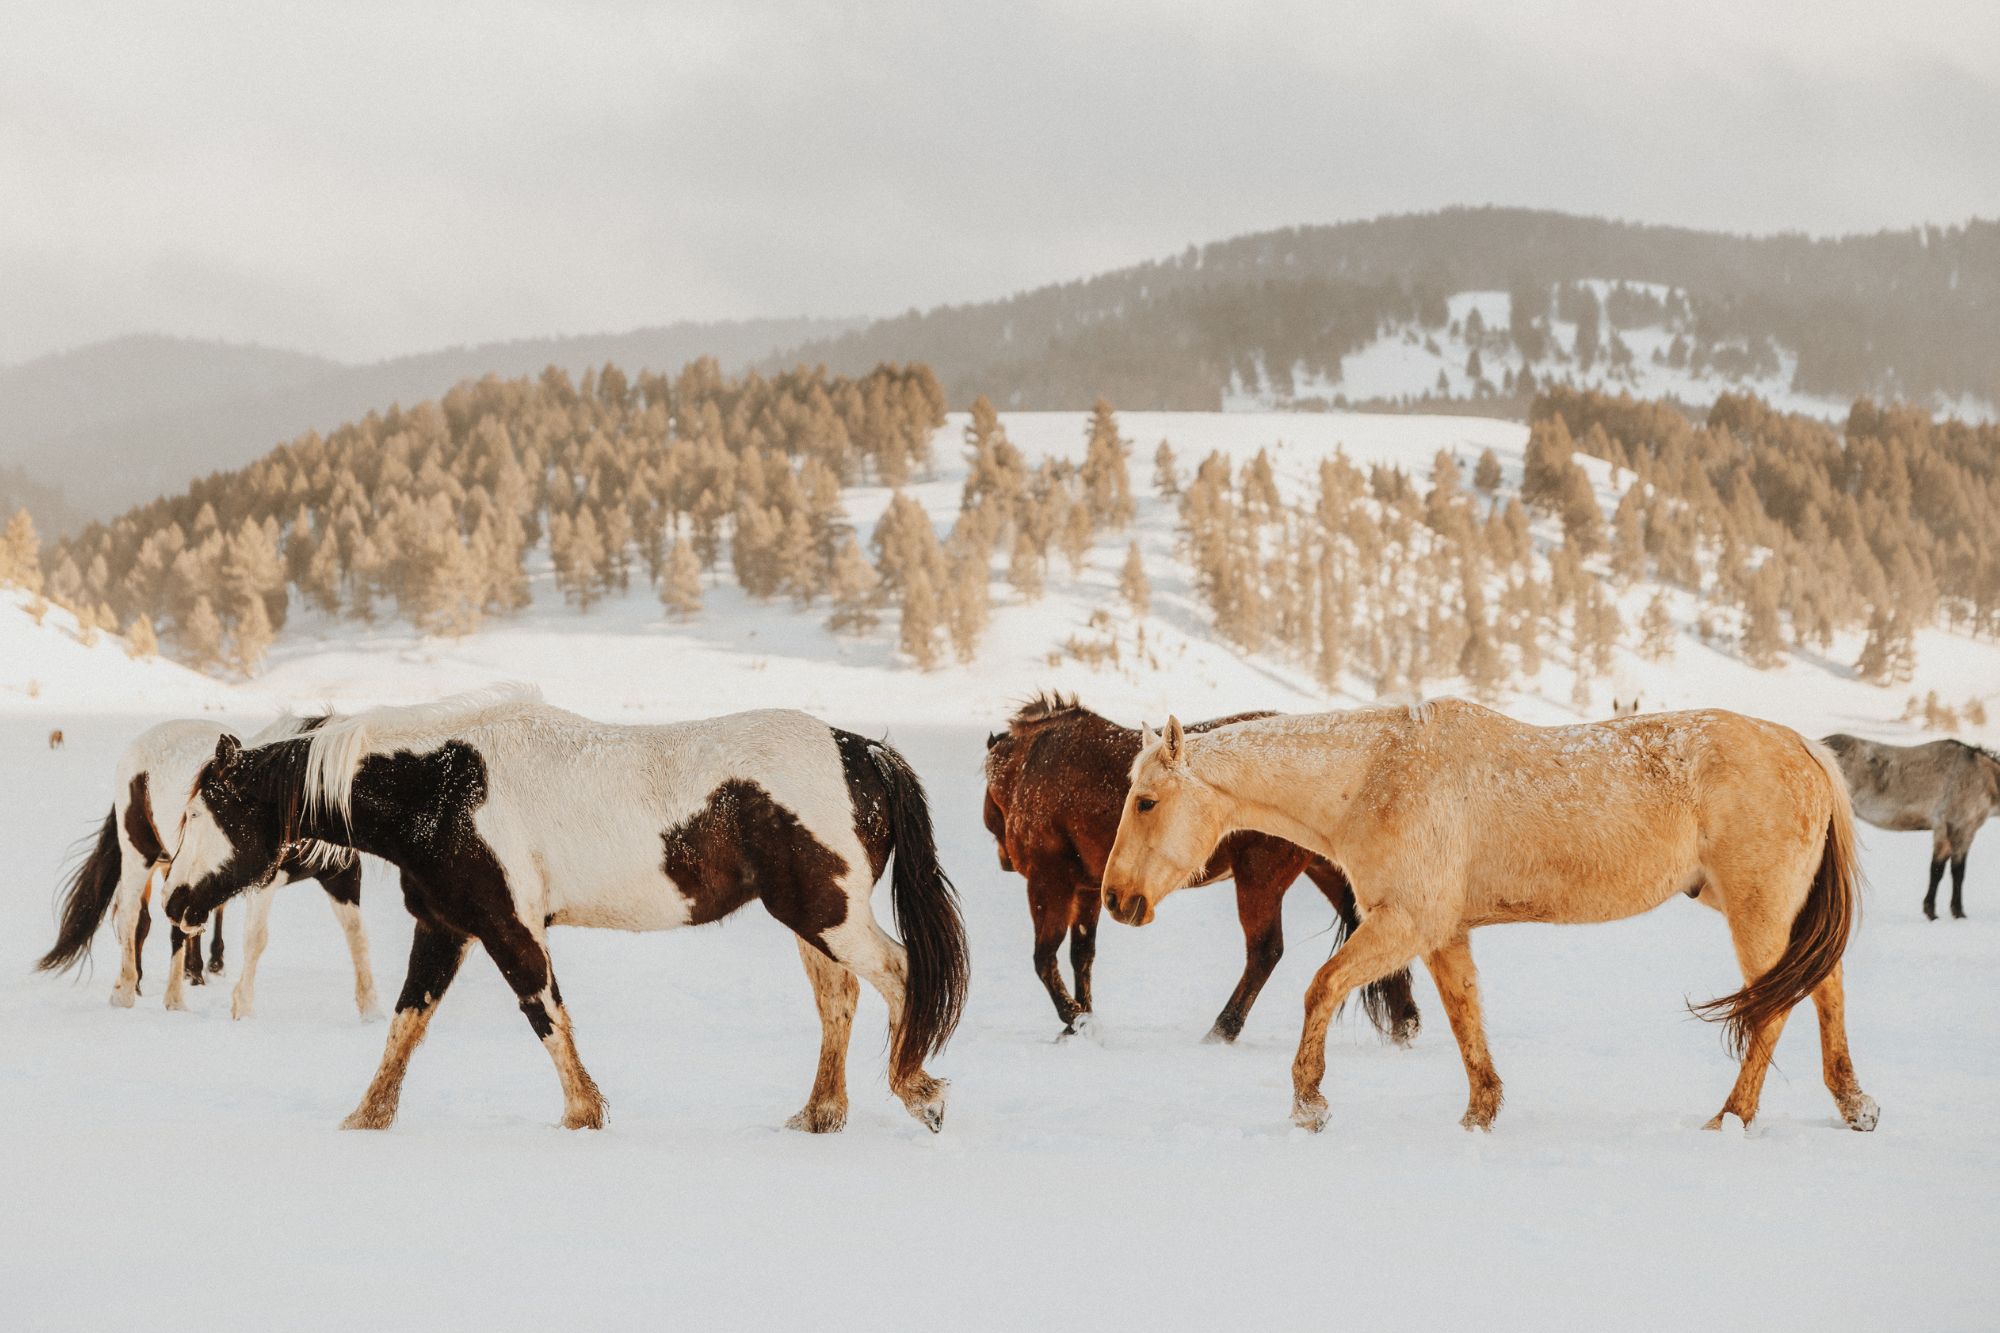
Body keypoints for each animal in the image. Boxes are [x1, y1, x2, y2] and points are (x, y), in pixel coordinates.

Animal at [37, 715, 379, 1020]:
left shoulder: (342, 876)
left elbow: (358, 935)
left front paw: (370, 1011)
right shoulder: (261, 880)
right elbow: (256, 938)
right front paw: (243, 1010)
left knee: (175, 928)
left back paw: (175, 998)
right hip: (140, 855)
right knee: (132, 918)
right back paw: (128, 992)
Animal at [159, 686, 969, 1134]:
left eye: (199, 812)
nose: (174, 901)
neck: (442, 788)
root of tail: (864, 752)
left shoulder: (506, 926)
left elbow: (544, 1014)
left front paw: (583, 1114)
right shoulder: (445, 927)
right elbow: (404, 1024)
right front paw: (366, 1118)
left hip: (829, 915)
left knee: (900, 974)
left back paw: (919, 1092)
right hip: (810, 920)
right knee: (841, 1000)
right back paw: (819, 1115)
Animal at [983, 692, 1419, 1044]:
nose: (1004, 858)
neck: (1035, 764)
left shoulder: (1050, 881)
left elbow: (1044, 958)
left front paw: (1075, 1020)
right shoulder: (1090, 887)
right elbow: (1082, 957)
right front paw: (1085, 1019)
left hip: (1259, 878)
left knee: (1265, 952)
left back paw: (1222, 1029)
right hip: (1325, 871)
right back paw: (1405, 1022)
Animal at [1100, 700, 1877, 1135]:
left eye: (1145, 801)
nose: (1115, 898)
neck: (1375, 774)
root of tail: (1802, 745)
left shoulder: (1406, 922)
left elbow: (1321, 988)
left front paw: (1310, 1103)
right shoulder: (1443, 932)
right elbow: (1464, 1015)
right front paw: (1481, 1112)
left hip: (1757, 911)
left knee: (1776, 1009)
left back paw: (1733, 1117)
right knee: (1826, 989)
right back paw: (1854, 1105)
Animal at [1821, 733, 2000, 920]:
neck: (1983, 776)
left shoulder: (1943, 832)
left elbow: (1937, 870)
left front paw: (1931, 911)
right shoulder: (1961, 829)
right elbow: (1957, 872)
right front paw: (1958, 913)